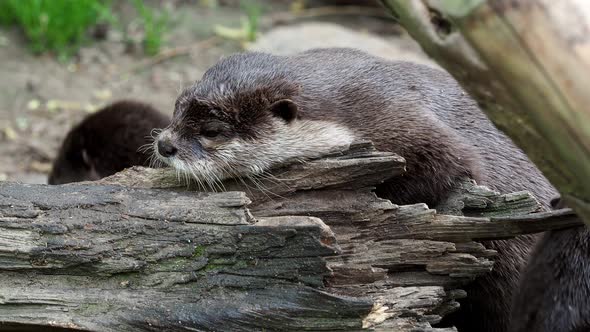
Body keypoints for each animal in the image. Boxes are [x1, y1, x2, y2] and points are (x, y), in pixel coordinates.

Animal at [154, 47, 560, 332]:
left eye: (212, 131)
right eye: (176, 108)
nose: (164, 145)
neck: (344, 114)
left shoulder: (410, 126)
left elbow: (454, 170)